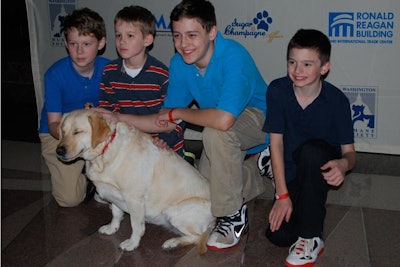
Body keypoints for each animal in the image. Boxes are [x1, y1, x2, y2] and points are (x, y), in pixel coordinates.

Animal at [55, 108, 216, 254]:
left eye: (77, 132)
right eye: (63, 131)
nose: (59, 151)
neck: (104, 154)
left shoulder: (134, 199)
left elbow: (136, 226)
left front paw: (132, 243)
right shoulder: (114, 194)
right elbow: (116, 213)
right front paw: (112, 228)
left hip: (174, 212)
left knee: (199, 237)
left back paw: (173, 243)